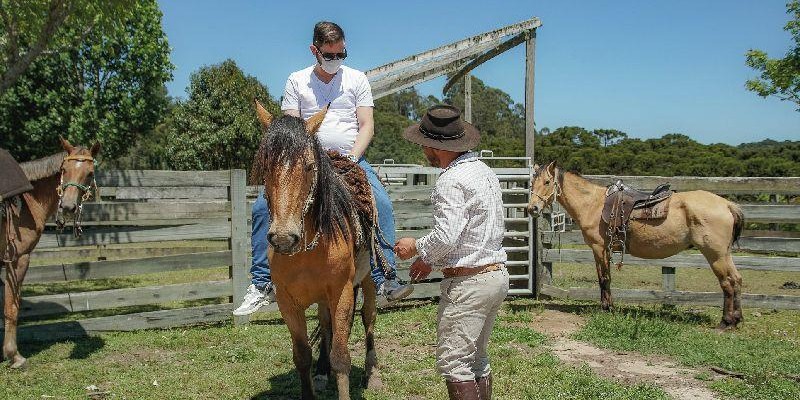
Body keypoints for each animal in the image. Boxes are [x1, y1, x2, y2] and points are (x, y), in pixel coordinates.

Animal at [0, 138, 101, 368]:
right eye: (64, 170)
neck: (27, 200)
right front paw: (14, 355)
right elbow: (12, 307)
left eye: (89, 173)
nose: (69, 206)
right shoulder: (18, 259)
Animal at [253, 101, 384, 400]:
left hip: (368, 281)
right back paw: (323, 372)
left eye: (310, 166)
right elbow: (302, 355)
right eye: (265, 167)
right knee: (326, 325)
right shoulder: (287, 301)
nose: (283, 238)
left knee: (368, 318)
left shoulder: (342, 292)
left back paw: (372, 374)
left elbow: (342, 356)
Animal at [528, 161, 748, 330]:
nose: (532, 209)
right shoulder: (602, 251)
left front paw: (607, 308)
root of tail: (727, 204)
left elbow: (604, 279)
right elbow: (604, 279)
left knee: (727, 282)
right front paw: (607, 306)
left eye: (547, 182)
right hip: (724, 254)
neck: (592, 204)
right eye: (531, 183)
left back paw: (726, 322)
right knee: (736, 279)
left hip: (715, 255)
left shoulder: (600, 249)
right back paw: (736, 319)